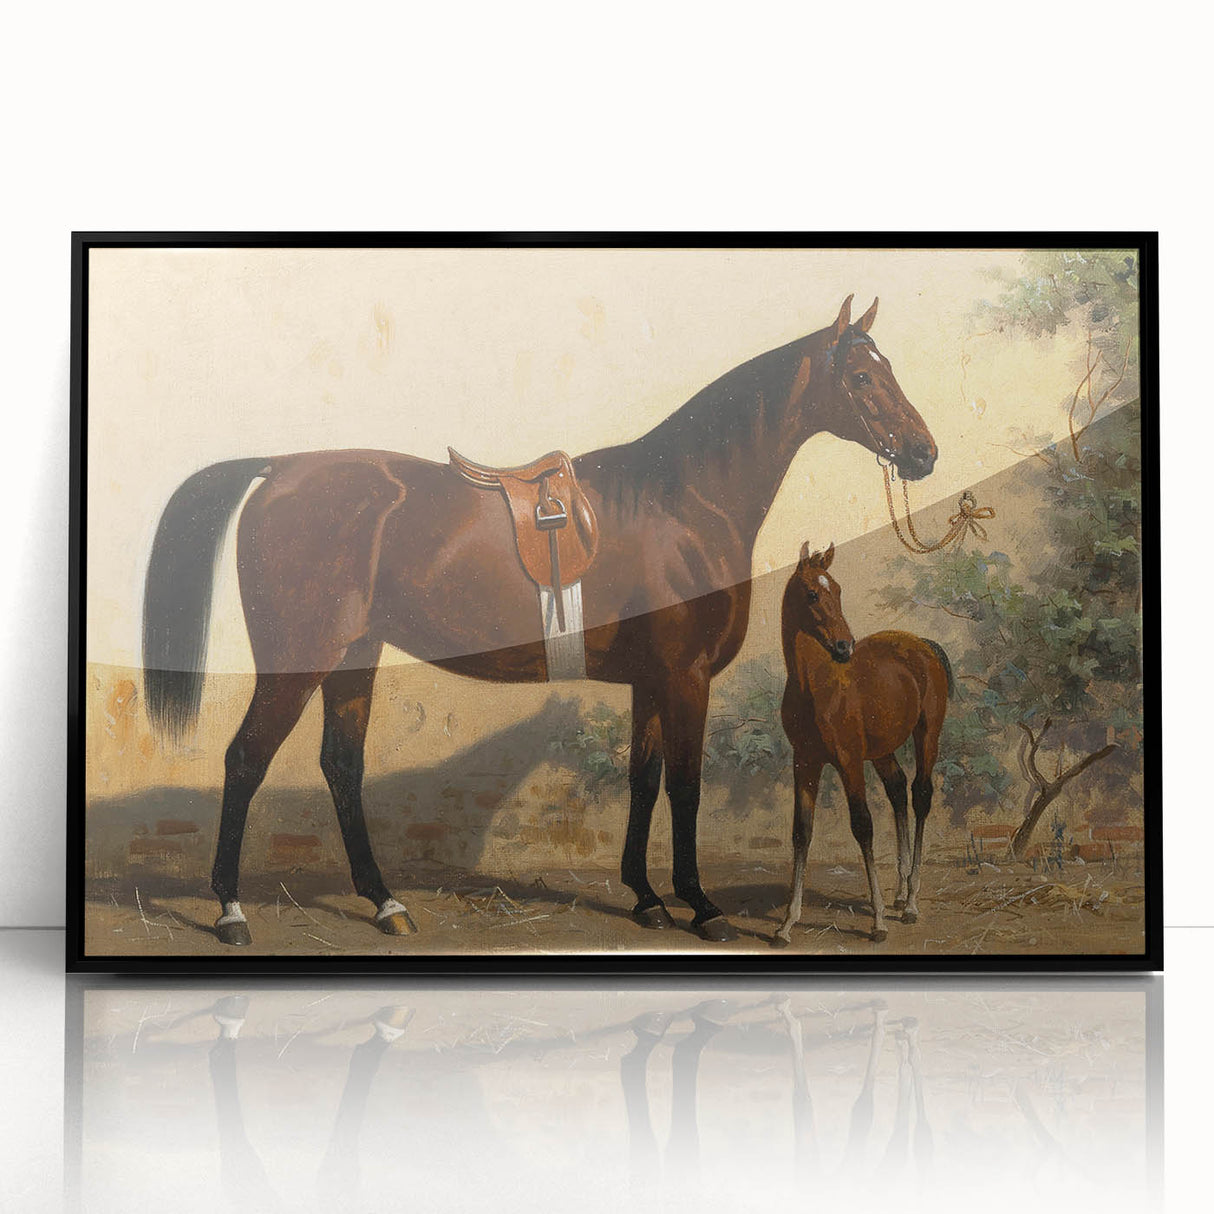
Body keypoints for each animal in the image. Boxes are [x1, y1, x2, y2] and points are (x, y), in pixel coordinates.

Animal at [772, 543, 952, 946]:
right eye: (812, 594)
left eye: (837, 590)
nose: (844, 647)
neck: (815, 685)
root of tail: (923, 645)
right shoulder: (804, 762)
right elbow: (801, 832)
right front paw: (787, 923)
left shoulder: (848, 761)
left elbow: (863, 826)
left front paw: (879, 921)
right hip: (882, 751)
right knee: (898, 789)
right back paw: (900, 893)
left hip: (926, 735)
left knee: (920, 794)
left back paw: (910, 902)